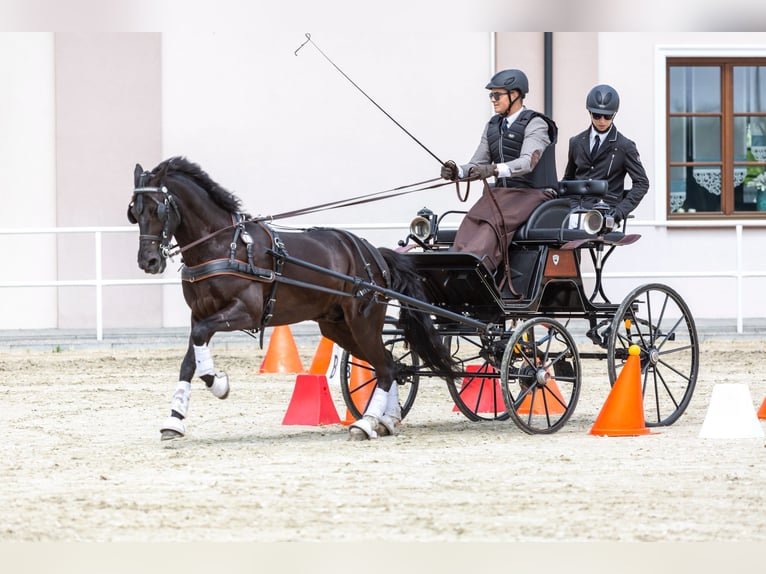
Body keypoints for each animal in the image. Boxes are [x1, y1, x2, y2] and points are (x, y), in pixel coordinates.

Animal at [127, 156, 456, 440]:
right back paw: (385, 420)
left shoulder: (244, 312)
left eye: (157, 209)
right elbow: (189, 359)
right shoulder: (200, 313)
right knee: (388, 365)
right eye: (134, 211)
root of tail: (374, 252)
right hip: (338, 326)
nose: (148, 261)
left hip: (362, 321)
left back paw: (366, 423)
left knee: (386, 368)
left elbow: (199, 343)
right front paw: (174, 420)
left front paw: (218, 383)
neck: (222, 245)